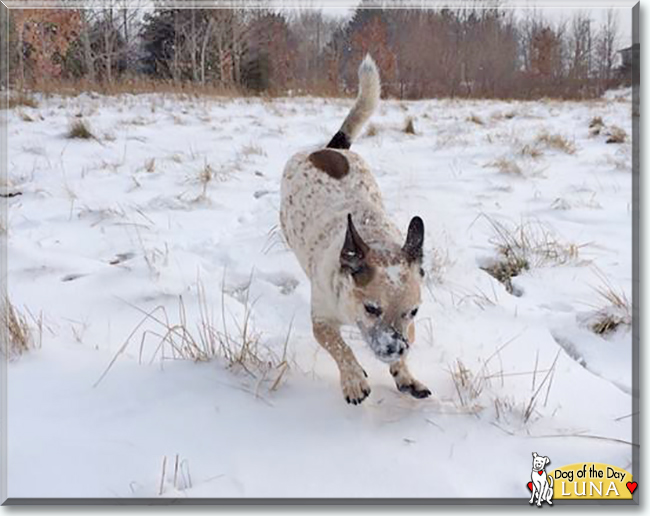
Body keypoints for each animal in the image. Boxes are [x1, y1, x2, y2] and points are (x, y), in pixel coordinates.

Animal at [280, 54, 428, 406]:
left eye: (413, 311)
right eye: (372, 308)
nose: (394, 348)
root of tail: (331, 147)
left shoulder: (410, 329)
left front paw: (405, 374)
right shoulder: (321, 319)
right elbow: (338, 345)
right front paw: (353, 380)